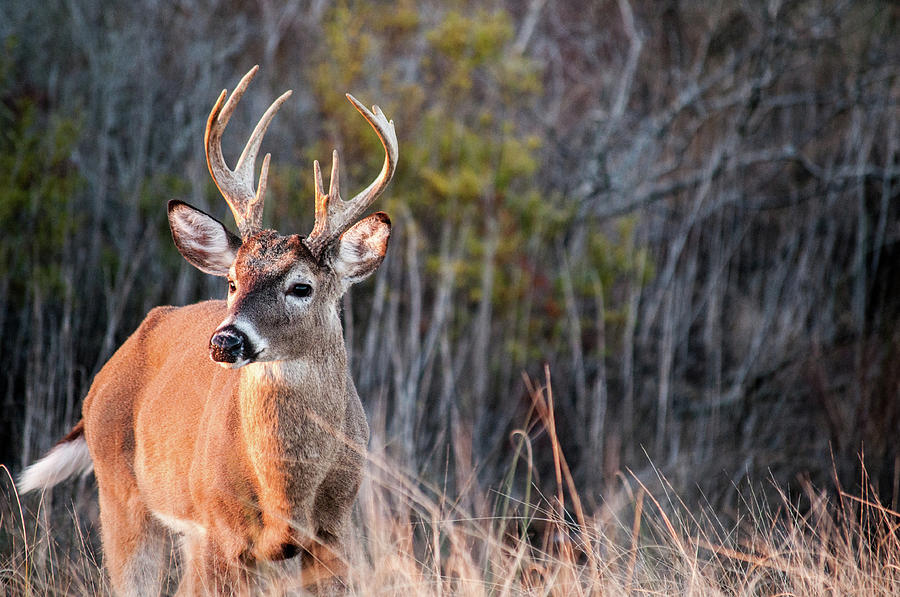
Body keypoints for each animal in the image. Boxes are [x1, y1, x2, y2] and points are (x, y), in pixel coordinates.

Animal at [16, 62, 398, 592]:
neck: (287, 496)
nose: (225, 340)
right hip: (123, 496)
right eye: (233, 281)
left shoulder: (335, 533)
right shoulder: (221, 528)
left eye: (301, 286)